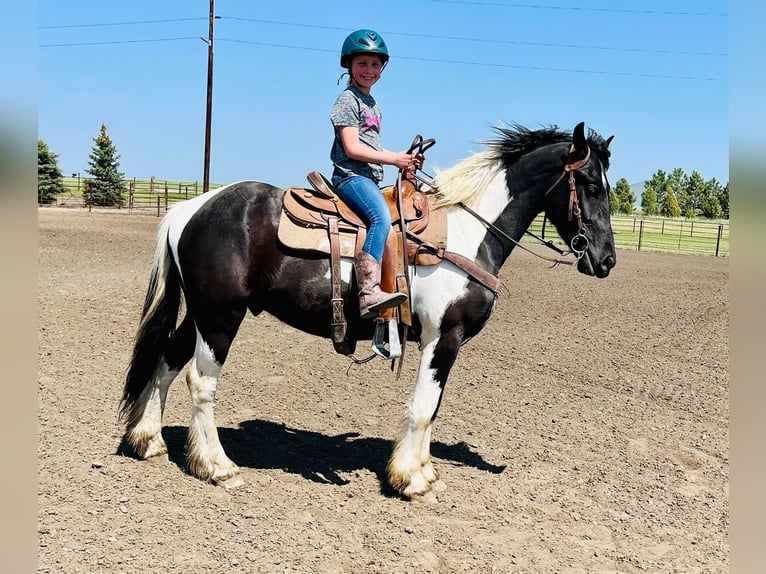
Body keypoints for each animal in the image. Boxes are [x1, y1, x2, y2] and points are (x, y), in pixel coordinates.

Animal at [118, 122, 616, 504]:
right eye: (592, 186)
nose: (607, 260)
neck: (466, 232)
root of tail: (191, 207)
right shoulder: (444, 337)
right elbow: (423, 407)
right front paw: (411, 481)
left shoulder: (442, 344)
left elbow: (433, 407)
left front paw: (424, 470)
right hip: (221, 316)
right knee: (200, 382)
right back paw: (217, 466)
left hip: (200, 313)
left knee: (166, 361)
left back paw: (148, 441)